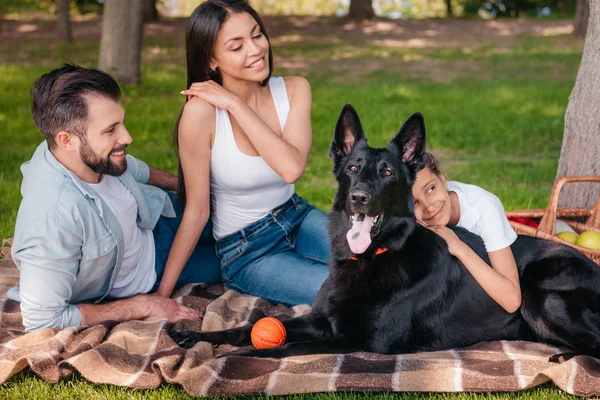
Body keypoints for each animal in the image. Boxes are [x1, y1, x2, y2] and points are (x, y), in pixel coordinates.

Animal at [169, 104, 600, 360]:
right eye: (353, 168)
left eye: (388, 172)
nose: (359, 198)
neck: (374, 257)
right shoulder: (321, 321)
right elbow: (249, 328)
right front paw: (193, 337)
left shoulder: (360, 341)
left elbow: (277, 348)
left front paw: (227, 358)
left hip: (538, 295)